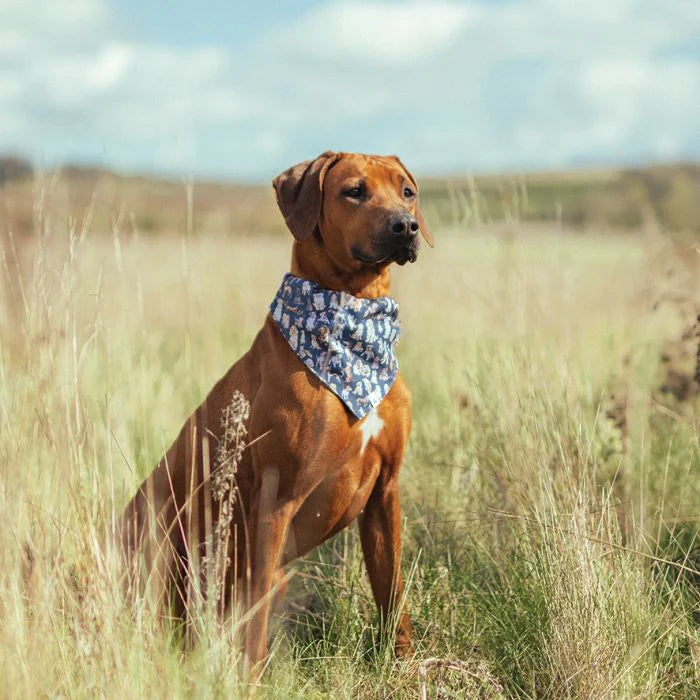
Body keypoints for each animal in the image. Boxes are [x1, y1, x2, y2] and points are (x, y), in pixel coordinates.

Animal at [121, 150, 432, 676]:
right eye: (354, 191)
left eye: (406, 192)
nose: (405, 226)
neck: (353, 324)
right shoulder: (276, 500)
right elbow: (255, 626)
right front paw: (248, 681)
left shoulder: (385, 494)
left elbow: (393, 594)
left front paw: (405, 669)